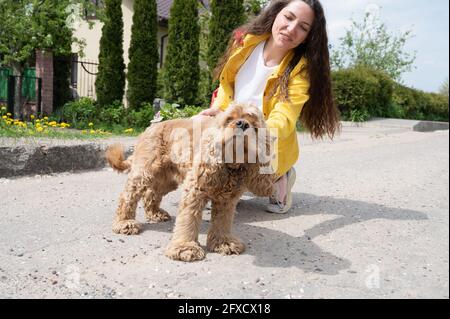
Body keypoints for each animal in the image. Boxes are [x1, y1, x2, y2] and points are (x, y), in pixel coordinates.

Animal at [106, 105, 276, 262]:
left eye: (255, 125)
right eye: (229, 119)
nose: (242, 124)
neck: (230, 166)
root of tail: (151, 127)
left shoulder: (227, 200)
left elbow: (223, 221)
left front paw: (223, 242)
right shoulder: (194, 191)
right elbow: (188, 220)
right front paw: (185, 248)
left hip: (166, 179)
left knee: (151, 193)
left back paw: (155, 213)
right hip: (144, 170)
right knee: (128, 195)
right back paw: (125, 223)